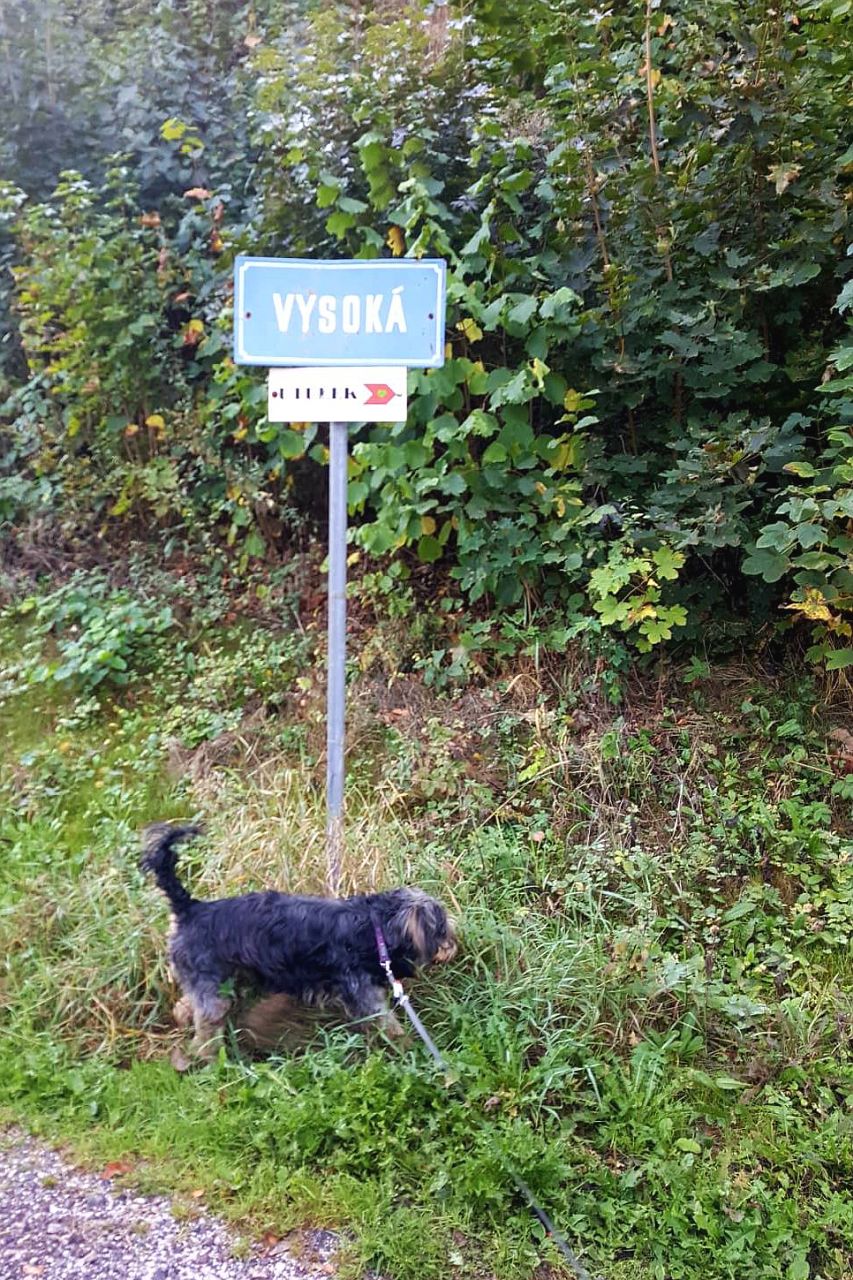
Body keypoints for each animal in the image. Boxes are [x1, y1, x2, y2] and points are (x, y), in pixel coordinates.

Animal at [141, 823, 457, 1063]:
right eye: (442, 927)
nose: (455, 944)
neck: (374, 929)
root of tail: (189, 909)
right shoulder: (362, 994)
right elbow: (389, 1026)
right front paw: (412, 1049)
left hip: (218, 980)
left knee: (188, 1007)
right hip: (212, 986)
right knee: (207, 1026)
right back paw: (208, 1059)